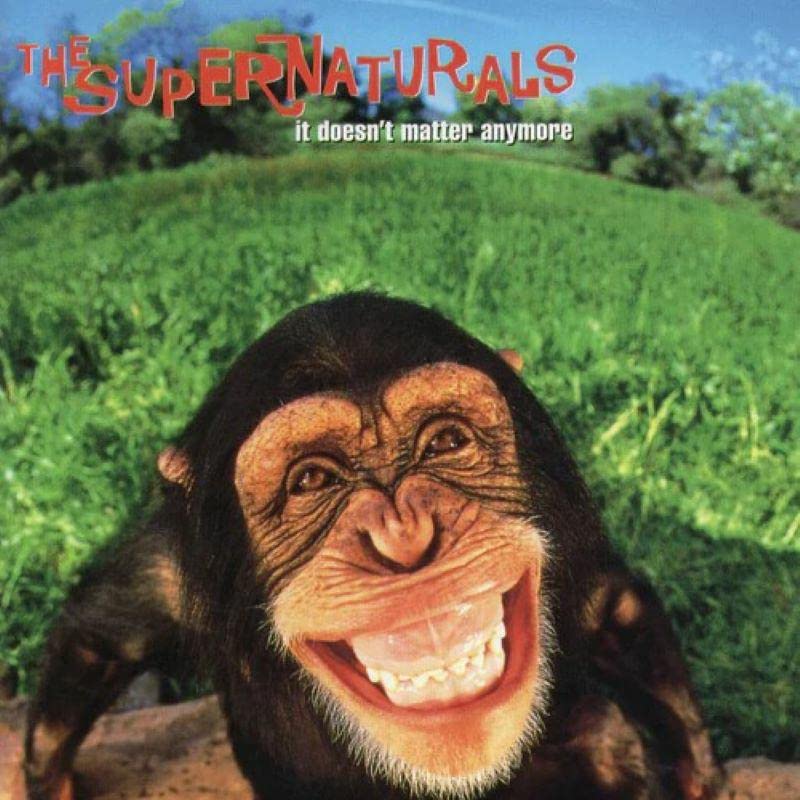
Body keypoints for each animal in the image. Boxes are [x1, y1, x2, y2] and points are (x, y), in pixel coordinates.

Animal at [23, 293, 723, 800]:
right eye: (312, 480)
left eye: (446, 441)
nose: (404, 537)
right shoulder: (175, 574)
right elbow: (101, 634)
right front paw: (52, 784)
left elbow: (615, 606)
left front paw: (699, 773)